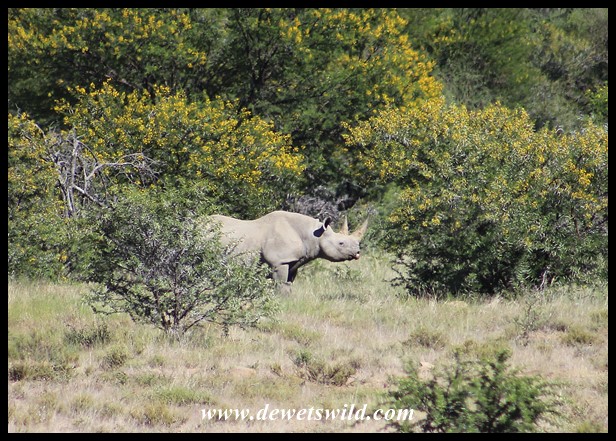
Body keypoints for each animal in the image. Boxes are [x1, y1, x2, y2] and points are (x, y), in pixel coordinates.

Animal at [210, 211, 368, 285]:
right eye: (341, 243)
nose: (357, 252)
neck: (314, 235)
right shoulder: (280, 260)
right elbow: (280, 283)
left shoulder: (294, 261)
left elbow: (288, 283)